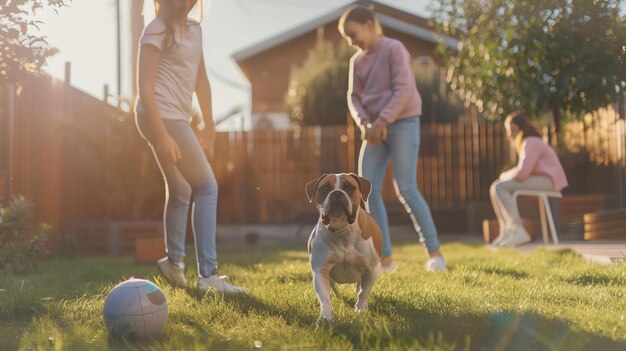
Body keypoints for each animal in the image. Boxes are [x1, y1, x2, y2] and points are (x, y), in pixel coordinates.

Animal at [304, 173, 382, 324]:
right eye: (325, 188)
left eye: (349, 187)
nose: (336, 193)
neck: (342, 230)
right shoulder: (320, 270)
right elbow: (324, 297)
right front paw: (326, 316)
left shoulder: (370, 269)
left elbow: (363, 292)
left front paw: (361, 310)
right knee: (333, 288)